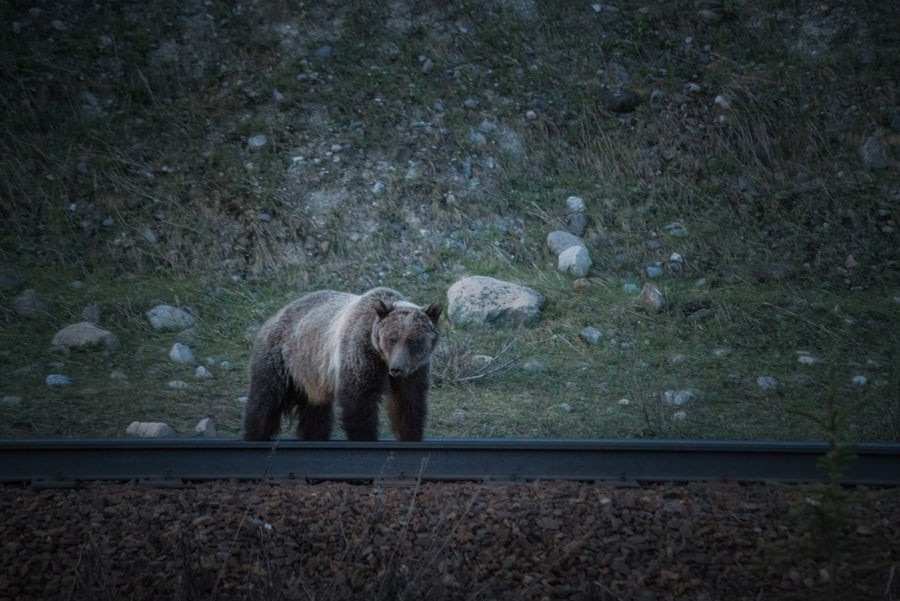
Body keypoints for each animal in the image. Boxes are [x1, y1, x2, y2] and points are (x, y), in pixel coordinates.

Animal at [243, 286, 442, 440]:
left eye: (413, 341)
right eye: (392, 339)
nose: (397, 368)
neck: (382, 358)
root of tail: (275, 315)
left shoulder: (415, 371)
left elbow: (408, 406)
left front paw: (409, 436)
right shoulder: (361, 355)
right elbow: (358, 402)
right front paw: (365, 437)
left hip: (311, 378)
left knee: (316, 415)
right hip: (281, 360)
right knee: (264, 403)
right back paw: (255, 435)